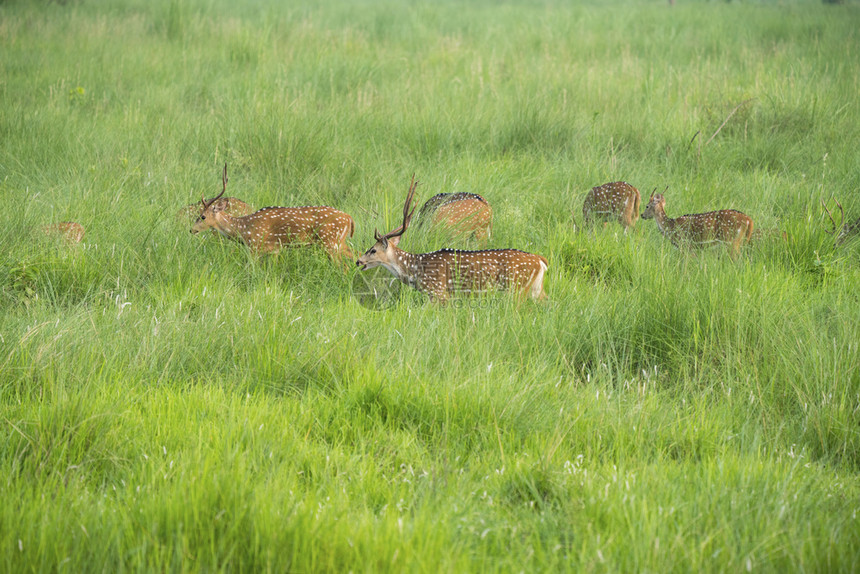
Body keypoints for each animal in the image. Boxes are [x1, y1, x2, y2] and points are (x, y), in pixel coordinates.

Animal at [192, 163, 356, 260]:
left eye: (202, 216)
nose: (191, 230)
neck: (244, 230)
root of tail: (349, 218)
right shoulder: (275, 250)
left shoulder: (255, 247)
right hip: (338, 243)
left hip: (330, 242)